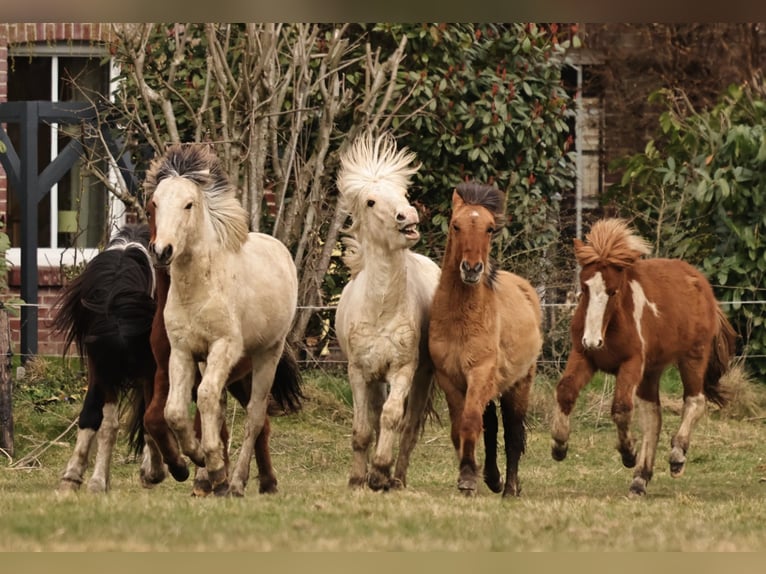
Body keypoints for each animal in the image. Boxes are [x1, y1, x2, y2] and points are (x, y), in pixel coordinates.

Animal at [147, 143, 302, 497]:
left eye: (188, 204)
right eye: (155, 204)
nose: (162, 251)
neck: (199, 288)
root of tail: (279, 249)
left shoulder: (223, 346)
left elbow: (204, 398)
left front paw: (214, 466)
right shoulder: (182, 352)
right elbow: (175, 412)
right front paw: (197, 457)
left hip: (266, 356)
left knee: (255, 418)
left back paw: (238, 481)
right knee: (221, 408)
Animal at [334, 132, 441, 491]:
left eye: (403, 193)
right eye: (370, 202)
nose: (407, 217)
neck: (381, 310)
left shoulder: (403, 370)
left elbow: (394, 418)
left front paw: (380, 471)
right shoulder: (359, 372)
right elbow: (362, 429)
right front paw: (357, 478)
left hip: (421, 378)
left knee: (407, 428)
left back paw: (396, 478)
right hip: (376, 379)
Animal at [428, 183, 542, 498]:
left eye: (490, 228)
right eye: (456, 225)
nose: (471, 269)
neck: (461, 319)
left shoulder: (480, 372)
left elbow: (470, 422)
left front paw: (468, 478)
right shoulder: (449, 378)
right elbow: (460, 427)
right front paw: (470, 474)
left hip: (519, 384)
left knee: (512, 433)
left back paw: (510, 488)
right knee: (490, 427)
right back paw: (494, 478)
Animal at [551, 218, 737, 496]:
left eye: (613, 291)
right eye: (584, 287)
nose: (593, 340)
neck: (611, 325)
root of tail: (702, 285)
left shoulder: (632, 363)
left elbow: (620, 408)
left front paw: (628, 452)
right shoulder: (584, 356)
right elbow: (566, 391)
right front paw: (559, 446)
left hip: (693, 356)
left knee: (695, 401)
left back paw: (676, 456)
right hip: (652, 370)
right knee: (653, 417)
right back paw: (640, 479)